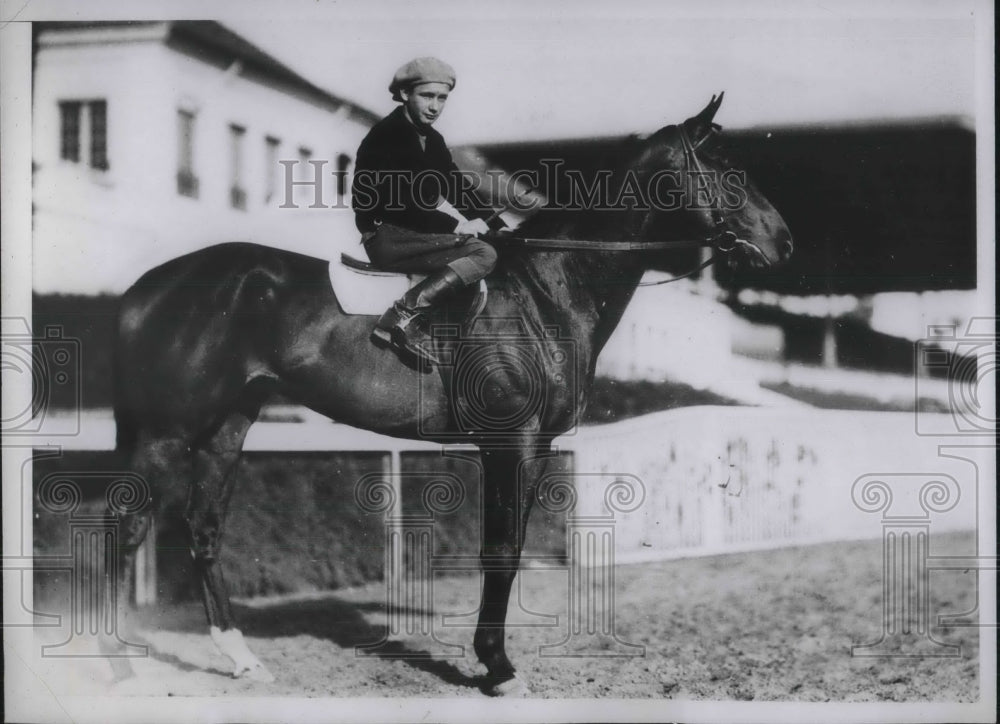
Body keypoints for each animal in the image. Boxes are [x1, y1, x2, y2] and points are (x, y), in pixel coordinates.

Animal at [109, 96, 792, 696]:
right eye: (727, 168)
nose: (784, 243)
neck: (543, 293)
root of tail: (149, 285)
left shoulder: (531, 447)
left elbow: (507, 549)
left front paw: (493, 659)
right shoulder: (511, 443)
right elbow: (500, 552)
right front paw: (497, 666)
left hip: (225, 427)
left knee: (203, 531)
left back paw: (241, 658)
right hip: (167, 432)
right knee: (129, 523)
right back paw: (119, 661)